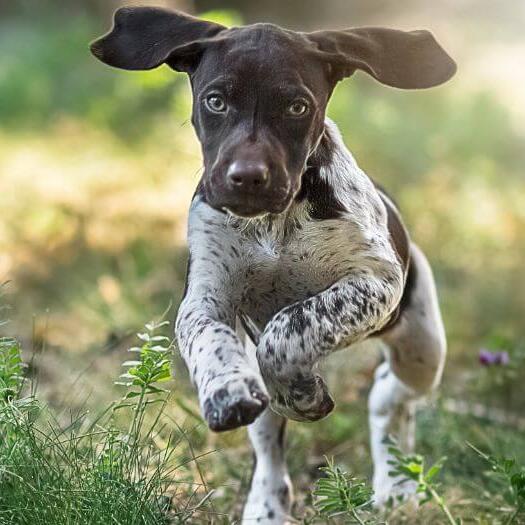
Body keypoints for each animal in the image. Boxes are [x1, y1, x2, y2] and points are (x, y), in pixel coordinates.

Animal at [91, 7, 454, 520]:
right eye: (216, 101)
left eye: (297, 107)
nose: (246, 178)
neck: (273, 224)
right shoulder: (205, 298)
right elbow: (212, 341)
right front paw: (228, 392)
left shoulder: (375, 281)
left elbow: (290, 327)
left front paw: (301, 393)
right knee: (268, 444)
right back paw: (267, 504)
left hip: (422, 345)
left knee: (389, 397)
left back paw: (396, 483)